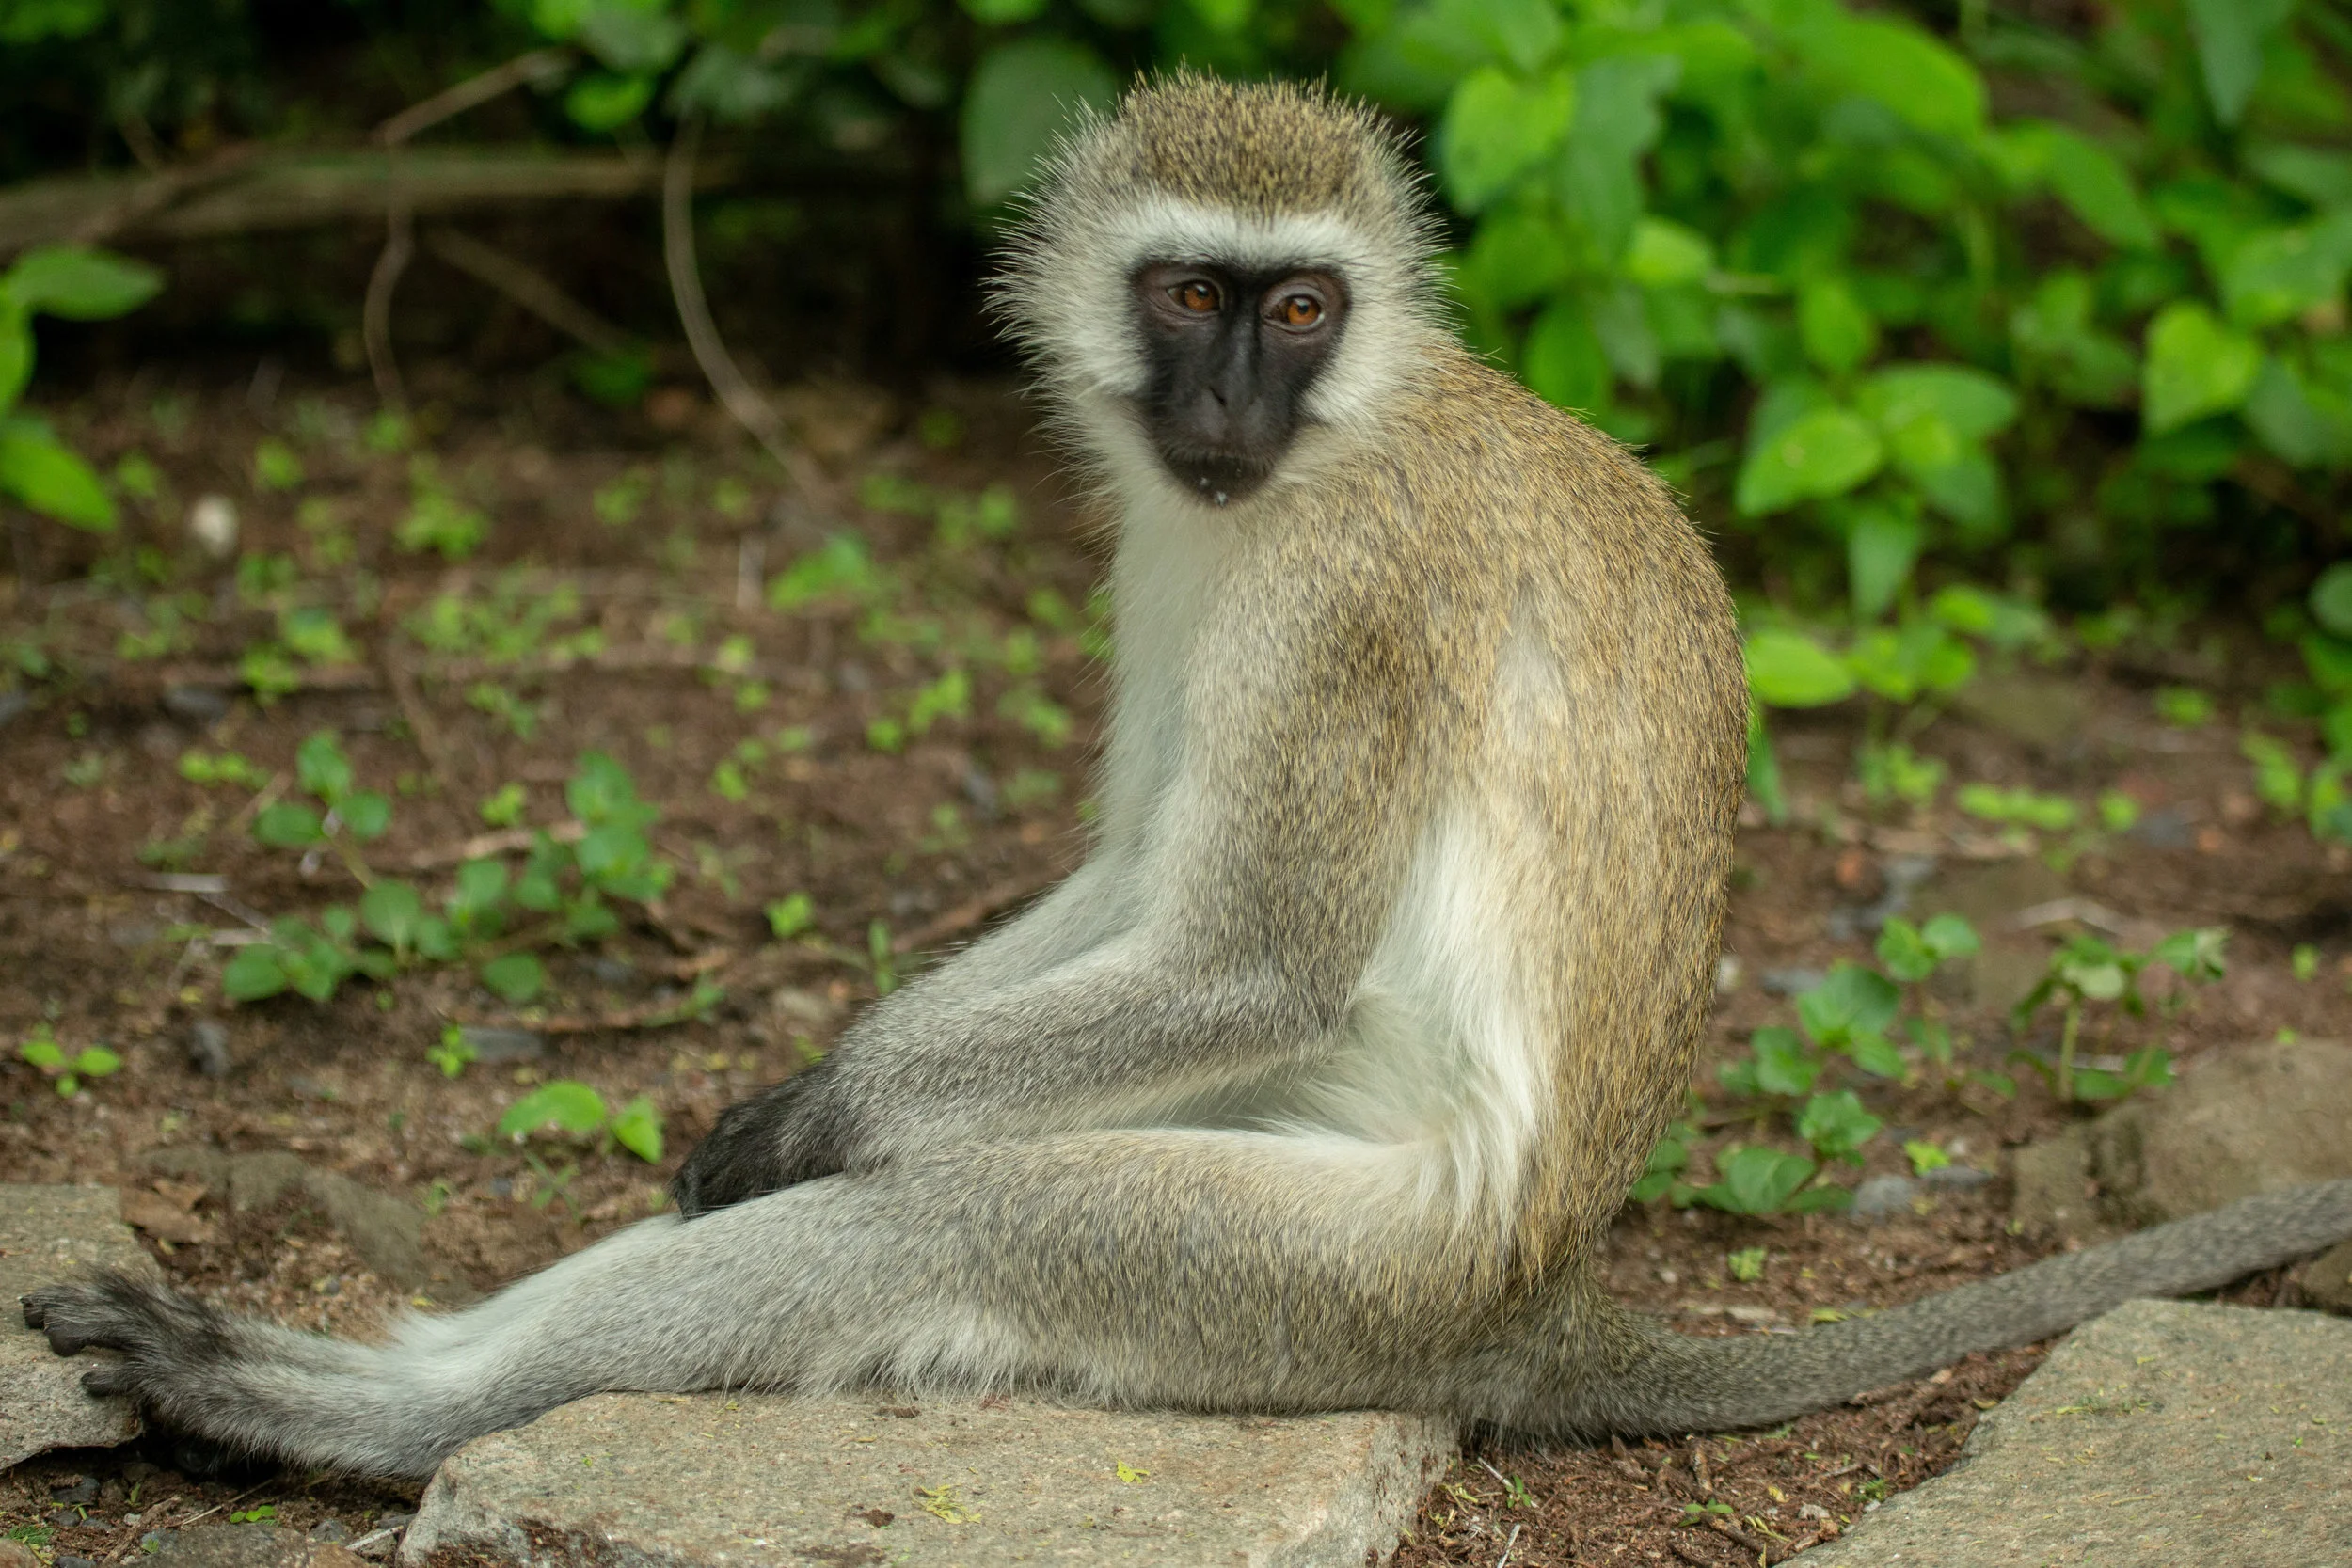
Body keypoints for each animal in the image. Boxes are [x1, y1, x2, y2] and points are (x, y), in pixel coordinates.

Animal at [23, 74, 2352, 1483]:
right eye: (1188, 293)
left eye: (1300, 304)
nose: (1229, 402)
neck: (1327, 444)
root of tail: (1530, 1302)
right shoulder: (1180, 538)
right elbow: (1140, 869)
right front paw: (776, 1090)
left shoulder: (1347, 593)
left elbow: (1238, 949)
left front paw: (807, 1113)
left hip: (1311, 1274)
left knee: (947, 1217)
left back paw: (357, 1410)